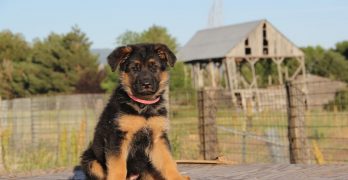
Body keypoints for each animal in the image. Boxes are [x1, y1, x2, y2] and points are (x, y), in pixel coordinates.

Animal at [80, 43, 189, 180]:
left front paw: (177, 177)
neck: (143, 105)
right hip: (90, 160)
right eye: (134, 68)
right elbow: (119, 167)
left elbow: (168, 162)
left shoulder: (158, 138)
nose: (146, 84)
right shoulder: (118, 137)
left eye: (154, 67)